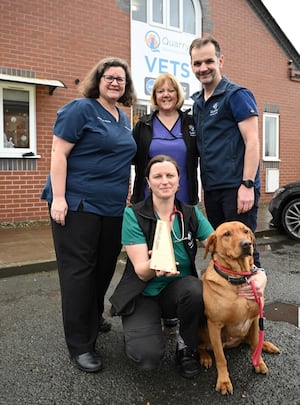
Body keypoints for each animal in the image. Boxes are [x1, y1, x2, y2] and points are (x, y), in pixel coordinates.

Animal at [198, 221, 280, 394]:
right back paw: (205, 357)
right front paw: (223, 381)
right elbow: (221, 358)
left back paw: (266, 345)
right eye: (226, 234)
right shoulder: (214, 325)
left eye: (246, 231)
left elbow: (255, 343)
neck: (239, 278)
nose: (247, 244)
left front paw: (258, 362)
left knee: (251, 341)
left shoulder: (255, 319)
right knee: (200, 346)